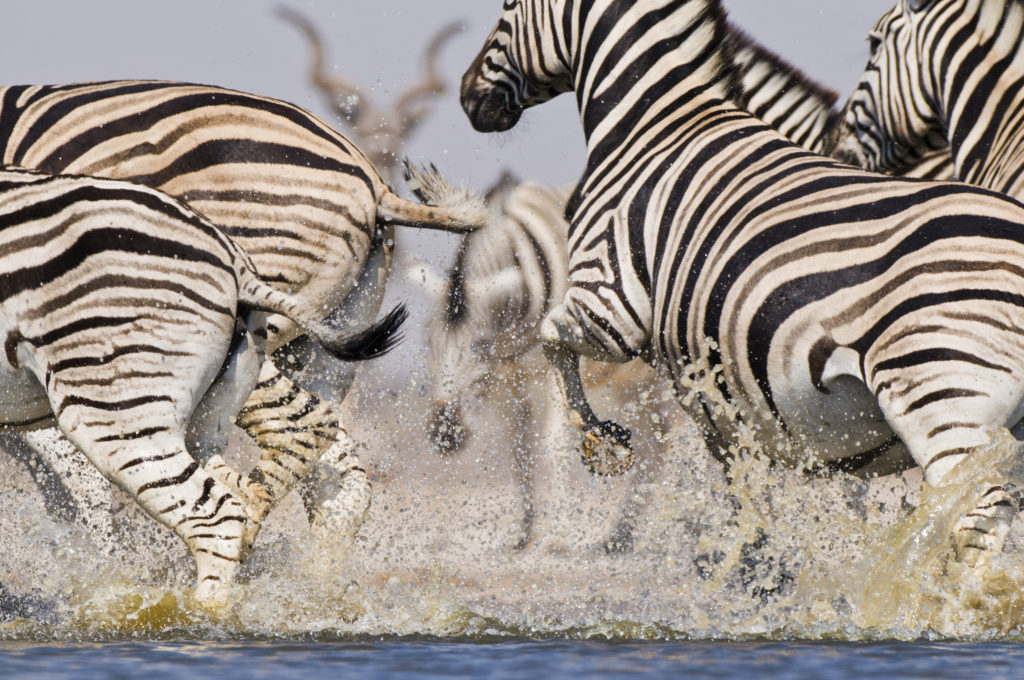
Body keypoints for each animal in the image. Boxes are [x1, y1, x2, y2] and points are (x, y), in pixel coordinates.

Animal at [0, 166, 405, 602]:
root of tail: (235, 263)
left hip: (116, 403)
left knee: (217, 514)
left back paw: (194, 614)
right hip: (208, 412)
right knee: (259, 477)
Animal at [464, 0, 1024, 565]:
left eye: (507, 8)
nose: (468, 97)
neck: (653, 130)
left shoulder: (609, 302)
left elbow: (550, 338)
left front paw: (601, 442)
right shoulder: (737, 417)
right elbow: (752, 504)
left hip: (940, 394)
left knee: (976, 528)